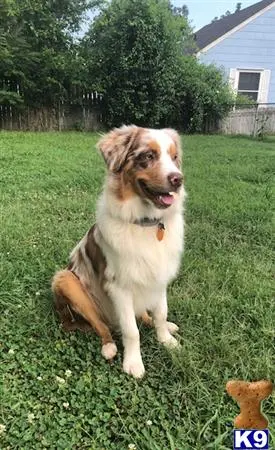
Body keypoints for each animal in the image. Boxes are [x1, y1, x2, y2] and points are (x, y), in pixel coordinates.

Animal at [51, 125, 185, 378]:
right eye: (148, 156)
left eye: (174, 157)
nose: (178, 179)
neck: (146, 224)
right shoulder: (119, 287)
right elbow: (131, 331)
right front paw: (133, 364)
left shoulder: (159, 277)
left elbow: (160, 313)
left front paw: (166, 340)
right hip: (65, 280)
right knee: (102, 325)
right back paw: (109, 347)